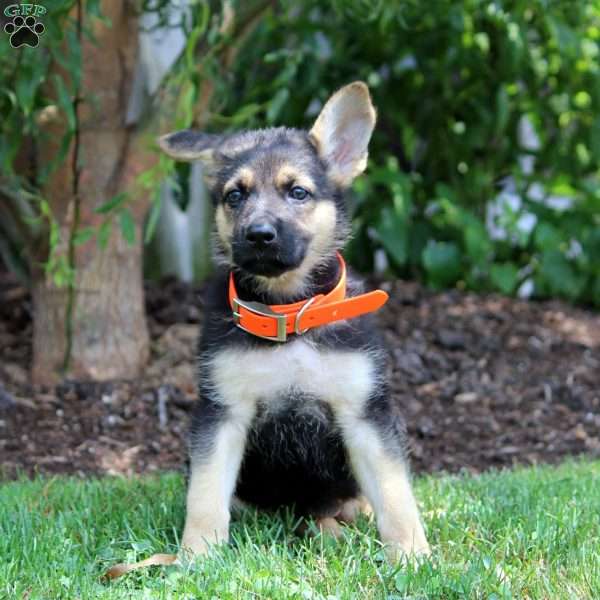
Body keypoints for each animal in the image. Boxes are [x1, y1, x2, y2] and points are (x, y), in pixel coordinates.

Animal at [159, 82, 428, 560]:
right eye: (235, 195)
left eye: (298, 192)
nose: (259, 235)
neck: (289, 314)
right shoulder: (223, 412)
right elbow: (206, 496)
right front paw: (196, 557)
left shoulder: (364, 414)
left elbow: (396, 494)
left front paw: (414, 556)